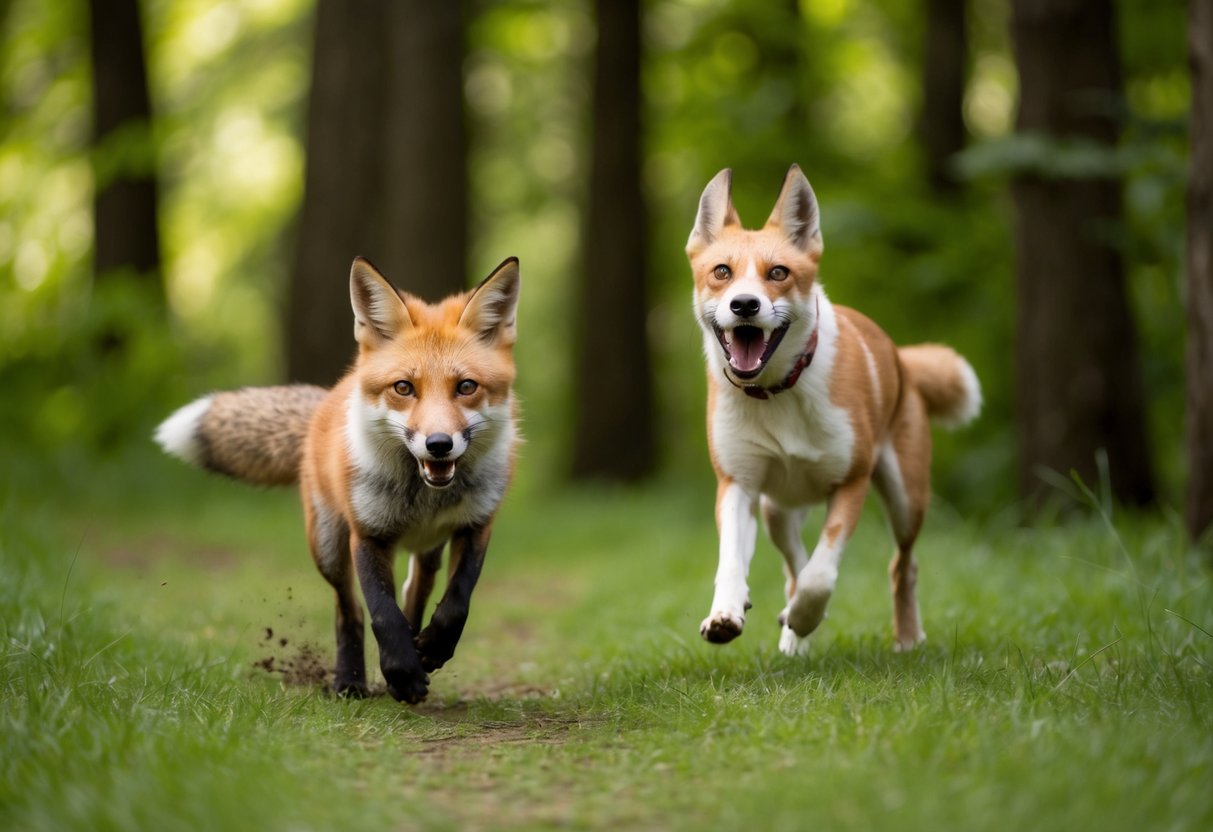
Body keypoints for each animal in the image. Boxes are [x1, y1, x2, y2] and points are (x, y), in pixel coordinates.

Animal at [155, 256, 522, 703]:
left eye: (466, 387)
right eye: (404, 387)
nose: (438, 444)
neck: (422, 496)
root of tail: (328, 400)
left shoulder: (477, 525)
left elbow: (456, 603)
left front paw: (431, 650)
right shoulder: (367, 533)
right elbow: (381, 613)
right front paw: (402, 674)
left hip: (427, 549)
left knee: (414, 592)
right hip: (327, 546)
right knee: (349, 609)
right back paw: (350, 680)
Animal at [686, 165, 981, 657]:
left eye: (779, 272)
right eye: (722, 272)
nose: (744, 304)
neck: (778, 392)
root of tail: (901, 359)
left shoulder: (851, 482)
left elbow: (821, 575)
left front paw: (805, 616)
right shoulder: (737, 485)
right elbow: (734, 562)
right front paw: (727, 614)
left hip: (906, 497)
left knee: (903, 565)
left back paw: (906, 639)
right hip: (778, 510)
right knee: (792, 567)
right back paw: (793, 641)